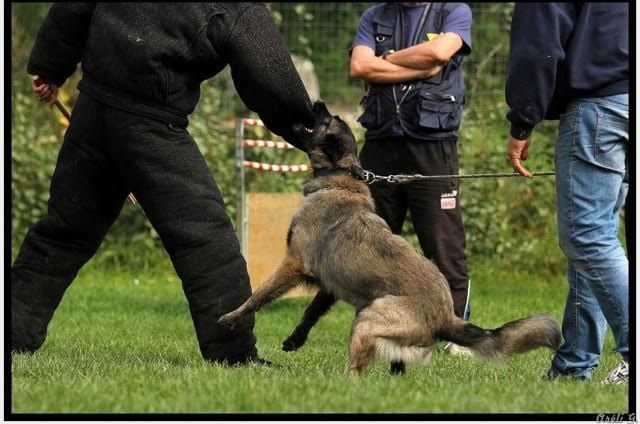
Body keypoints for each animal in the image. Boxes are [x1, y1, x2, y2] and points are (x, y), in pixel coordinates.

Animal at [219, 101, 560, 376]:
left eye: (327, 119)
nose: (317, 102)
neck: (340, 178)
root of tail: (445, 319)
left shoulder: (294, 264)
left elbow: (259, 295)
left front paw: (232, 317)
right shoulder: (328, 286)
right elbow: (310, 312)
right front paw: (295, 339)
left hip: (367, 318)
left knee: (355, 373)